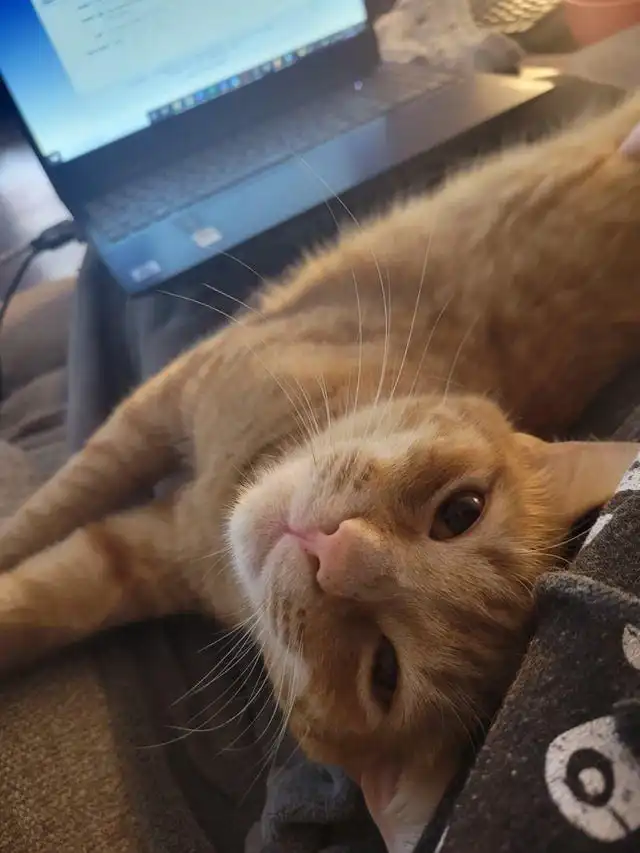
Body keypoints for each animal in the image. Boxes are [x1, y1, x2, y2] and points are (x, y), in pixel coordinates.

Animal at [2, 94, 640, 852]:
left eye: (383, 671)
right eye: (461, 512)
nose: (335, 550)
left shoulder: (128, 552)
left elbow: (40, 583)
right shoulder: (155, 410)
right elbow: (44, 523)